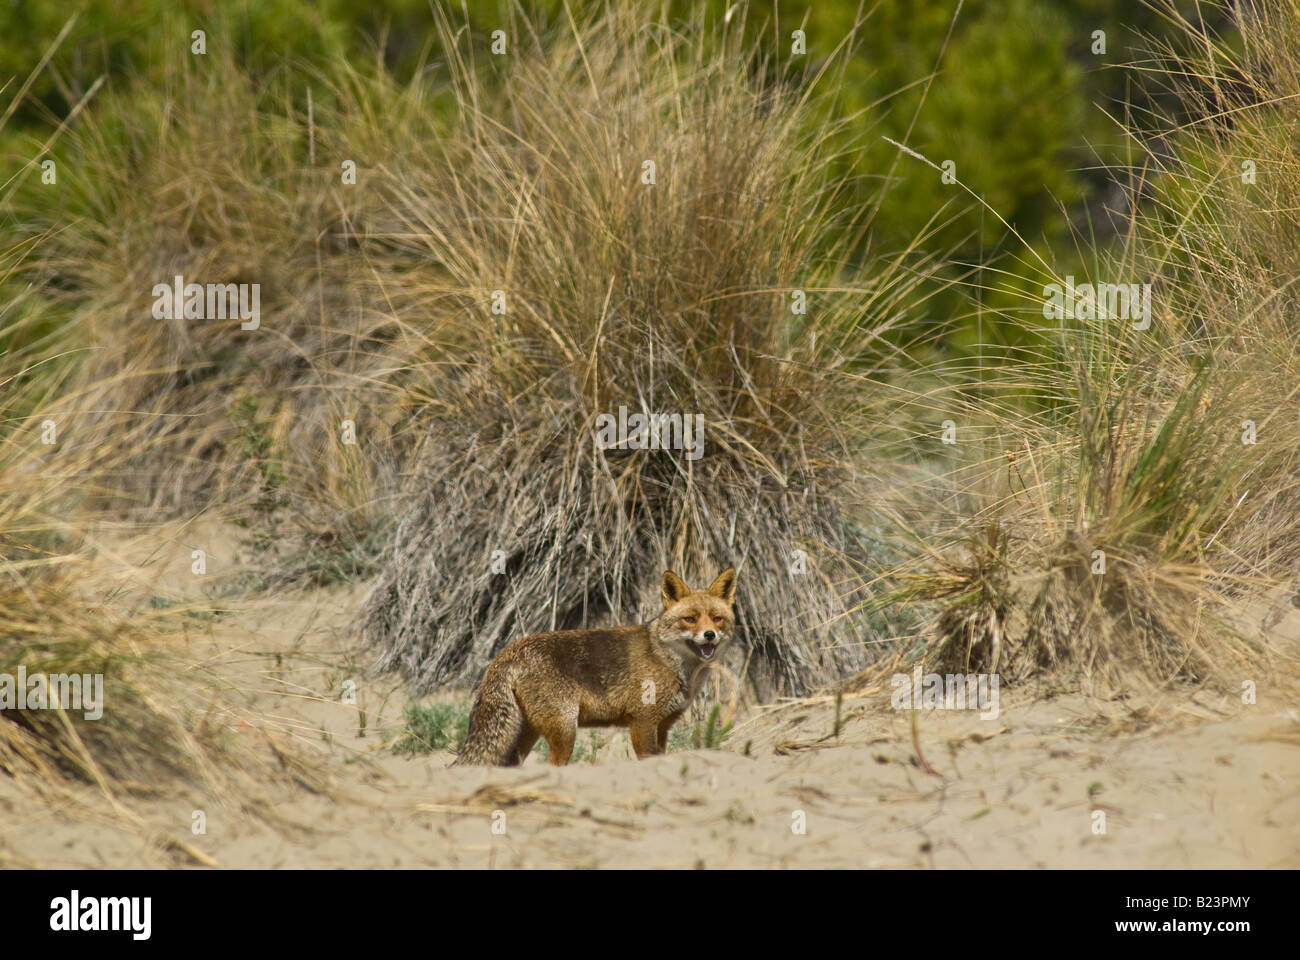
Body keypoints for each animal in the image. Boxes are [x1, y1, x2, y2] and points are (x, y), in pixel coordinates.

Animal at [452, 567, 738, 764]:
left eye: (717, 619)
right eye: (690, 619)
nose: (709, 635)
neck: (667, 660)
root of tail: (507, 651)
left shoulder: (663, 726)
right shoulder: (642, 721)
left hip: (527, 734)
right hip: (565, 731)